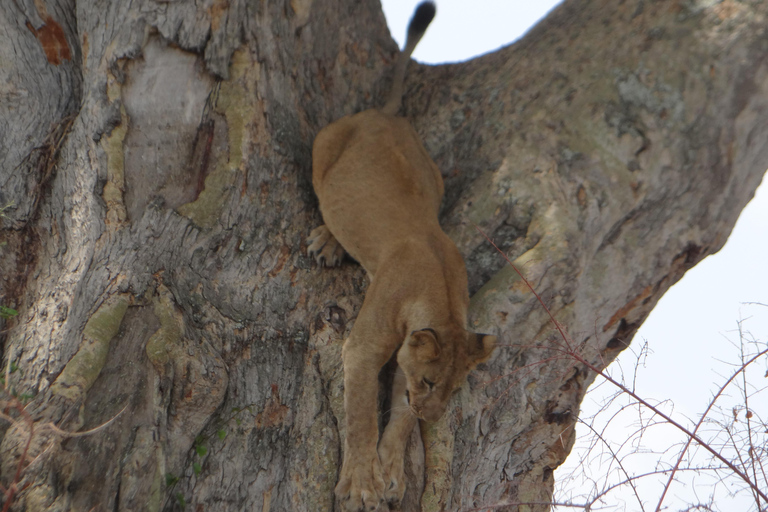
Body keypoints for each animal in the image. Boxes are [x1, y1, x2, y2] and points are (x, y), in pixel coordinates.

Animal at [308, 3, 496, 508]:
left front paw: (391, 471)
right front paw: (361, 486)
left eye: (452, 389)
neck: (441, 292)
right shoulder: (364, 346)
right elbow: (361, 417)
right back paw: (327, 240)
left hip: (436, 176)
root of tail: (386, 115)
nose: (434, 416)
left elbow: (399, 414)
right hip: (323, 143)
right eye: (432, 383)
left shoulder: (408, 357)